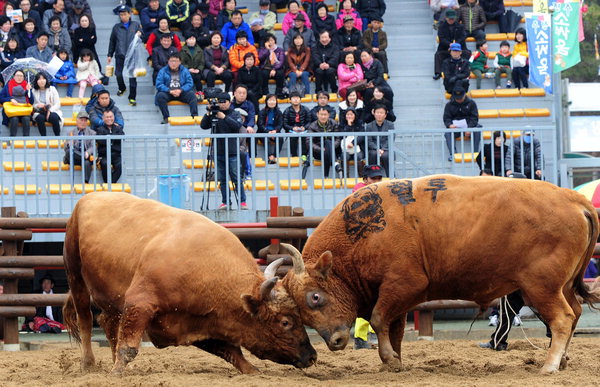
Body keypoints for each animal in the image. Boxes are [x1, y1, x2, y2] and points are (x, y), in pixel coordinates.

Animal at [64, 194, 318, 376]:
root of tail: (87, 199)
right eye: (285, 322)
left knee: (107, 322)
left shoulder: (199, 324)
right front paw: (116, 372)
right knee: (85, 319)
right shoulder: (139, 303)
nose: (312, 356)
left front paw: (252, 370)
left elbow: (230, 351)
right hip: (75, 275)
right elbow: (129, 348)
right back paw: (88, 363)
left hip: (110, 298)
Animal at [282, 177, 600, 376]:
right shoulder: (396, 296)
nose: (335, 341)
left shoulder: (403, 285)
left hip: (540, 288)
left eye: (315, 297)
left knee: (562, 319)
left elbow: (379, 319)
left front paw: (389, 358)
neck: (363, 233)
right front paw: (395, 361)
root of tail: (575, 200)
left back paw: (549, 365)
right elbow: (394, 329)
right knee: (575, 312)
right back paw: (563, 360)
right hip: (562, 287)